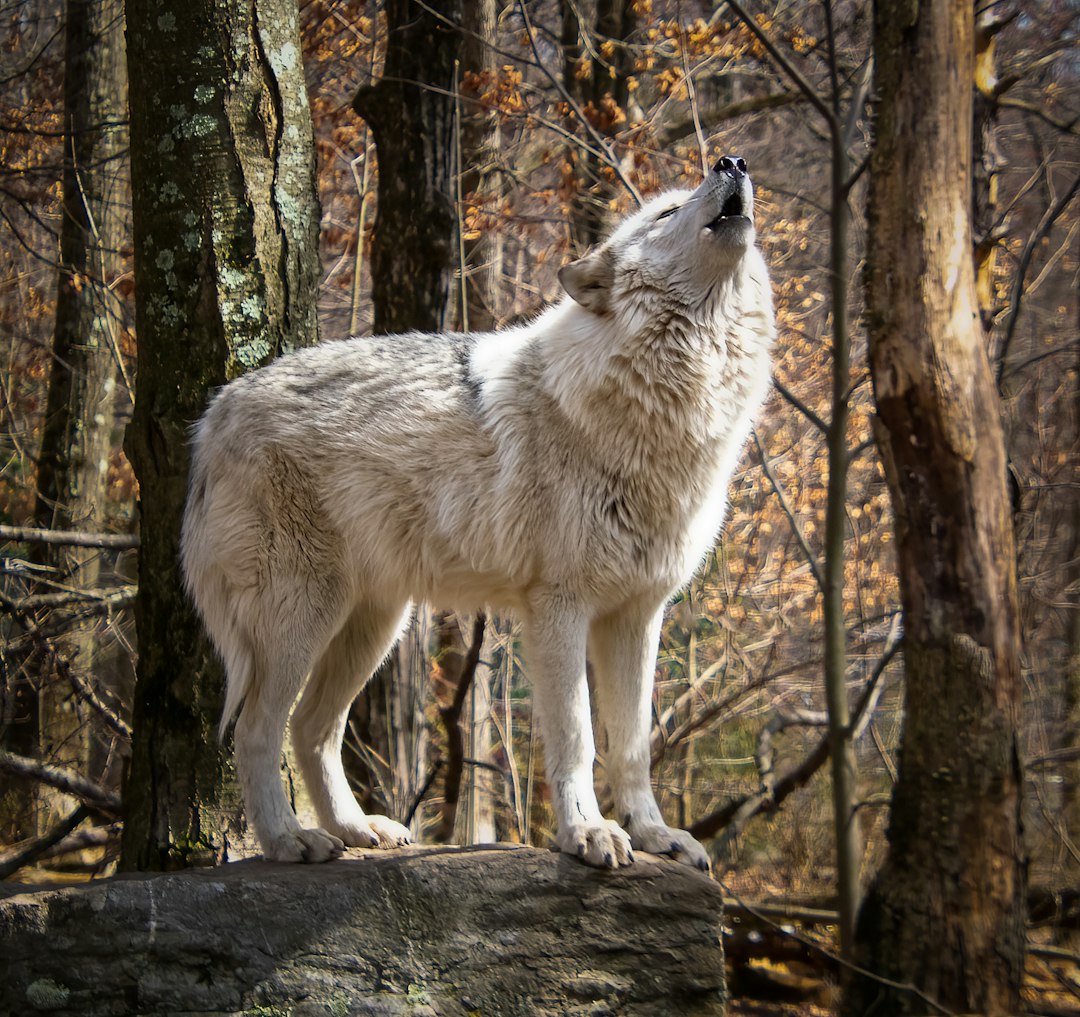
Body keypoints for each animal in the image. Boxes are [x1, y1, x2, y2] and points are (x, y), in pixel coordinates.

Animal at [180, 155, 774, 869]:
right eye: (667, 211)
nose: (732, 161)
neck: (667, 402)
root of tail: (213, 415)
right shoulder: (559, 607)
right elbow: (578, 739)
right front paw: (588, 833)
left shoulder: (637, 615)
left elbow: (632, 747)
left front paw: (656, 835)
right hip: (304, 617)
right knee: (256, 731)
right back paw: (289, 840)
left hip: (374, 625)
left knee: (311, 728)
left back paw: (356, 830)